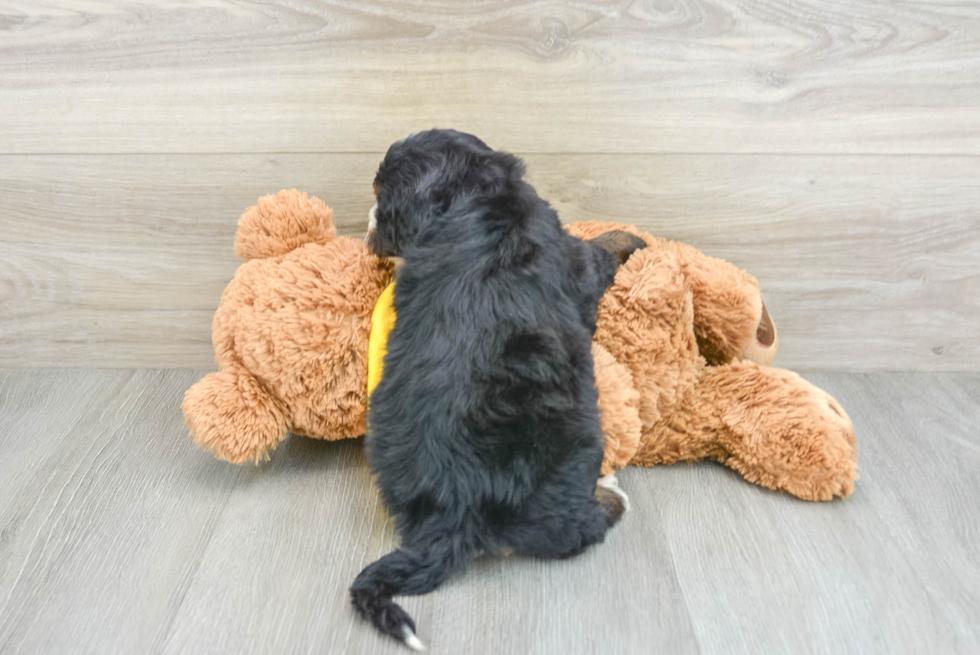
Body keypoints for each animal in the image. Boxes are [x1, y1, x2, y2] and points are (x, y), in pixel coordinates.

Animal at [352, 129, 644, 652]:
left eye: (380, 196)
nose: (367, 226)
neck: (474, 193)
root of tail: (457, 508)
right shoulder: (575, 258)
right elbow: (599, 249)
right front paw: (630, 237)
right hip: (572, 456)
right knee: (577, 532)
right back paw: (611, 496)